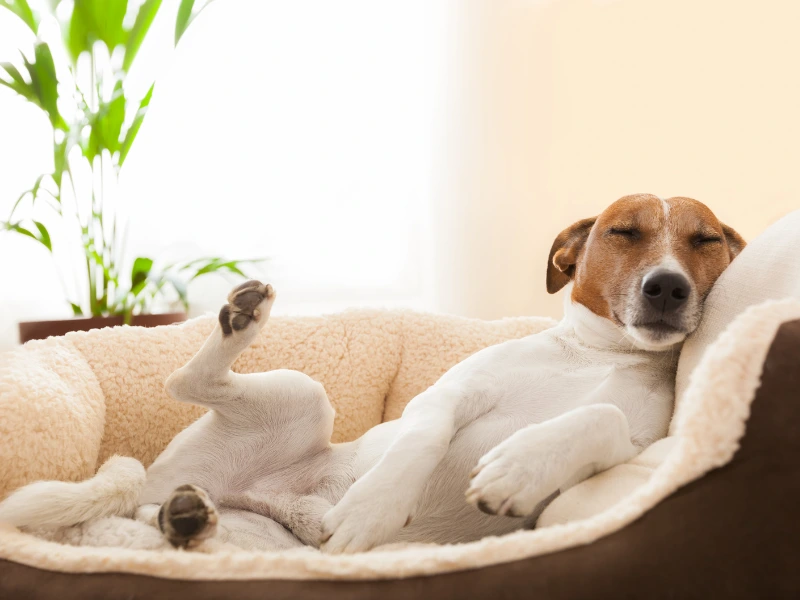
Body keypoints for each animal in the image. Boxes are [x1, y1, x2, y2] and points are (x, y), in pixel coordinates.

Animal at [0, 193, 744, 552]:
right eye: (624, 232)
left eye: (704, 240)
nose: (667, 287)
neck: (599, 355)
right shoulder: (445, 396)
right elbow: (420, 439)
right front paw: (374, 507)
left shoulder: (640, 443)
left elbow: (602, 414)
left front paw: (519, 468)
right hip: (304, 394)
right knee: (184, 383)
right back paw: (242, 320)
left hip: (259, 528)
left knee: (174, 516)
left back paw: (187, 523)